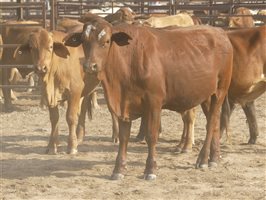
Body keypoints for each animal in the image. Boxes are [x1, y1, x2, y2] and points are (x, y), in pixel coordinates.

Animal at [64, 21, 233, 180]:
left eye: (106, 41)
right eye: (84, 41)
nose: (89, 66)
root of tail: (219, 32)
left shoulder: (154, 103)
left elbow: (151, 136)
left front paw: (150, 169)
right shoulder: (124, 104)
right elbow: (124, 138)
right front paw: (118, 169)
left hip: (220, 90)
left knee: (211, 123)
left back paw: (203, 159)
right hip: (206, 95)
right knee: (214, 123)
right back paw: (214, 157)